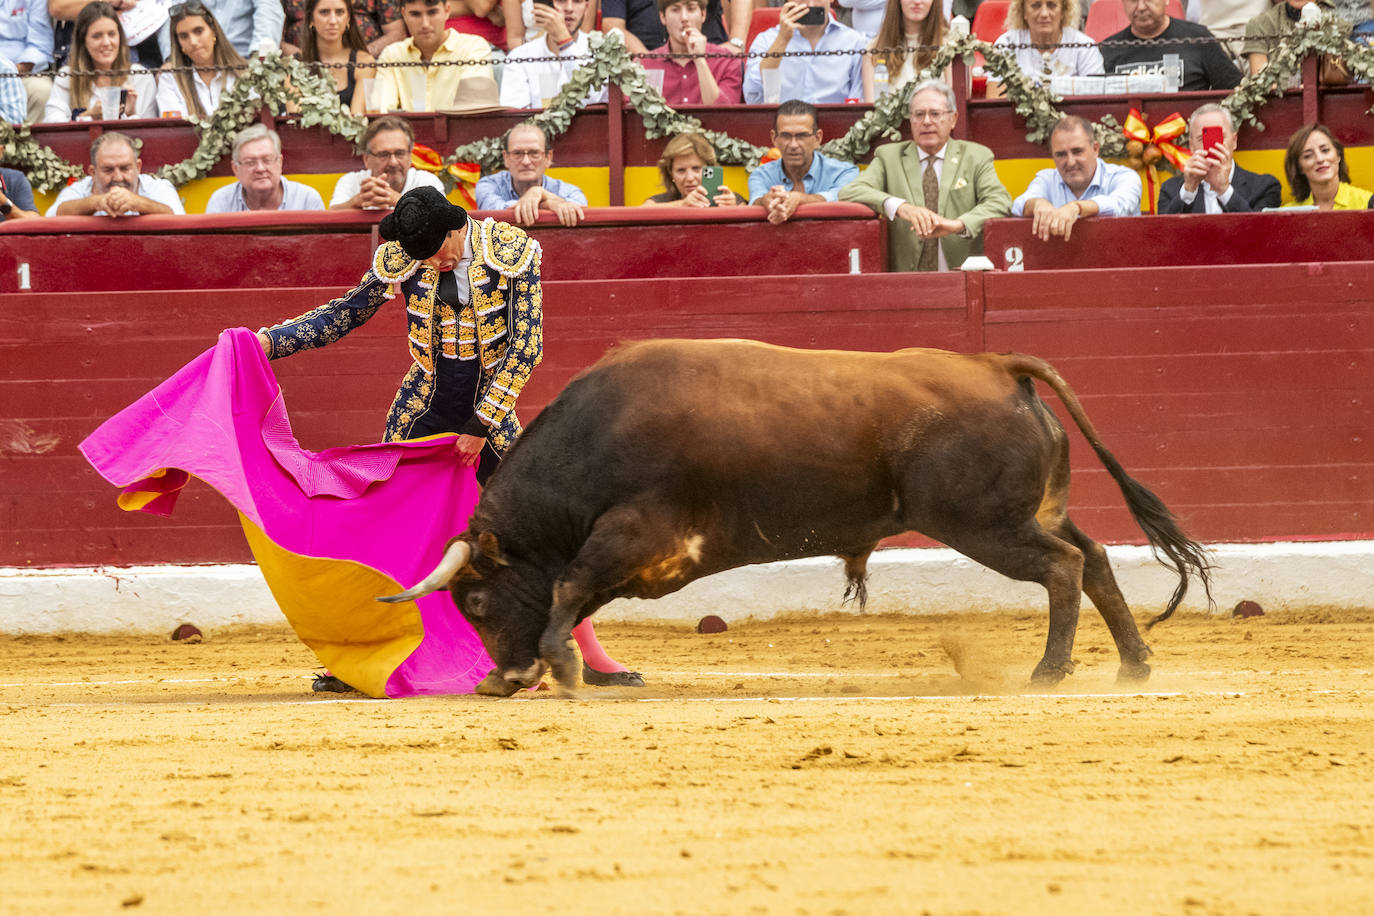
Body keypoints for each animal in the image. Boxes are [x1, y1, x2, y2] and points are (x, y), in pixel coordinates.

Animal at [381, 341, 1209, 694]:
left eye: (476, 601)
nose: (504, 675)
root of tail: (998, 367)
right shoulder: (641, 554)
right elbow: (575, 591)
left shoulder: (633, 533)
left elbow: (567, 586)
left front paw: (557, 664)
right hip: (1033, 512)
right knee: (1094, 558)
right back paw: (1134, 665)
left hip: (985, 525)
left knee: (1064, 567)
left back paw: (1048, 672)